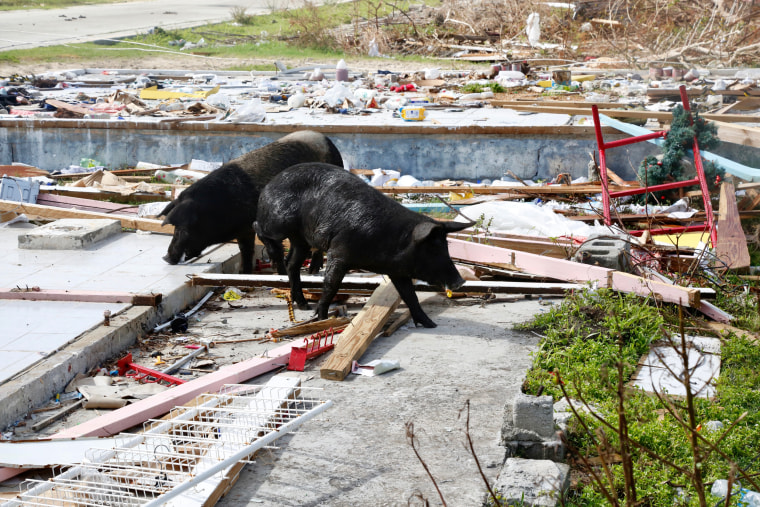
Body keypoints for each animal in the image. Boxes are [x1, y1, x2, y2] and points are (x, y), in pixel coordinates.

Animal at [159, 131, 342, 274]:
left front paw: (281, 275)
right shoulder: (244, 230)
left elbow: (273, 250)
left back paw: (312, 271)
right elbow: (246, 250)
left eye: (182, 228)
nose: (166, 258)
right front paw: (244, 273)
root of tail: (328, 141)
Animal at [254, 163, 470, 330]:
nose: (460, 281)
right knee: (258, 227)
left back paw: (303, 305)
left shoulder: (398, 271)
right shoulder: (339, 253)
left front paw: (431, 324)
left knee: (292, 264)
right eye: (432, 249)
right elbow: (331, 285)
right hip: (279, 222)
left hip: (301, 240)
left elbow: (410, 296)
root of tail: (271, 183)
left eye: (446, 247)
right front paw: (322, 318)